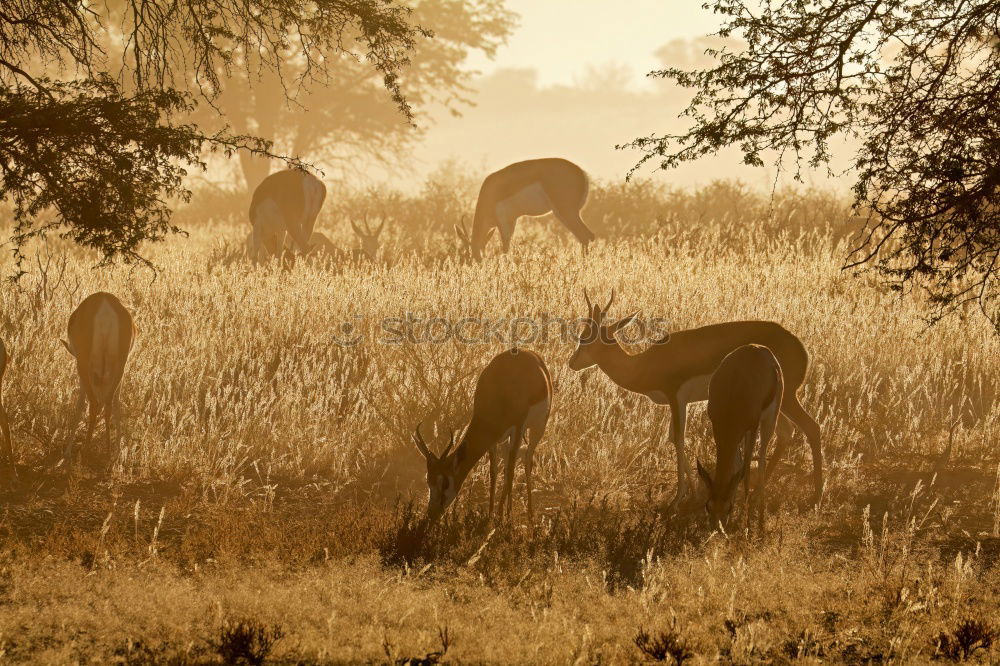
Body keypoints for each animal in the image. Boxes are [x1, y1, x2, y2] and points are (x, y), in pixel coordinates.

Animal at [61, 290, 138, 462]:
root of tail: (104, 301)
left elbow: (79, 405)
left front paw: (67, 452)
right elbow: (116, 403)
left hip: (83, 365)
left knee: (93, 403)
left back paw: (85, 452)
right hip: (120, 366)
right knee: (109, 403)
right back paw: (109, 452)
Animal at [414, 348, 556, 524]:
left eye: (445, 482)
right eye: (429, 480)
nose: (432, 514)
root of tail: (529, 353)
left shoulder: (518, 427)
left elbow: (510, 473)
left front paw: (506, 517)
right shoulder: (492, 439)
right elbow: (493, 472)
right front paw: (491, 515)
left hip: (538, 427)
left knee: (527, 460)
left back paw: (528, 514)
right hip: (507, 439)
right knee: (509, 465)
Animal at [572, 294, 820, 506]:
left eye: (584, 339)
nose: (571, 363)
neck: (645, 364)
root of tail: (800, 347)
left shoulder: (676, 397)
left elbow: (680, 438)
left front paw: (677, 498)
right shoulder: (681, 402)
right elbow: (674, 438)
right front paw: (692, 493)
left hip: (787, 399)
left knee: (812, 427)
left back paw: (815, 498)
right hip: (775, 404)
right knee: (786, 432)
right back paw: (757, 490)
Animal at [696, 344, 780, 528]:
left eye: (728, 508)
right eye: (707, 506)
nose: (716, 528)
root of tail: (759, 348)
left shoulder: (752, 427)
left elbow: (746, 470)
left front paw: (745, 522)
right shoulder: (718, 427)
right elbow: (737, 466)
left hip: (768, 422)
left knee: (761, 461)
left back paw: (760, 522)